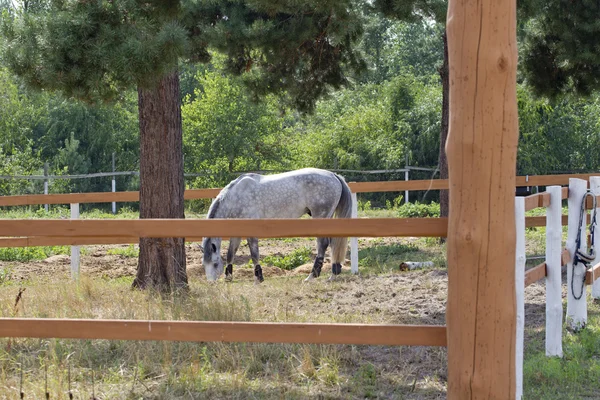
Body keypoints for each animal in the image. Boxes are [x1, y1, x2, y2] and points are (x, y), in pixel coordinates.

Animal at [203, 167, 352, 282]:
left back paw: (312, 276)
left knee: (323, 244)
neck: (236, 197)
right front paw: (228, 278)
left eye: (215, 264)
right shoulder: (237, 231)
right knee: (332, 243)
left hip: (320, 217)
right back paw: (333, 274)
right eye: (204, 264)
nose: (211, 282)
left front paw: (259, 278)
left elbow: (254, 254)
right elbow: (230, 254)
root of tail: (334, 175)